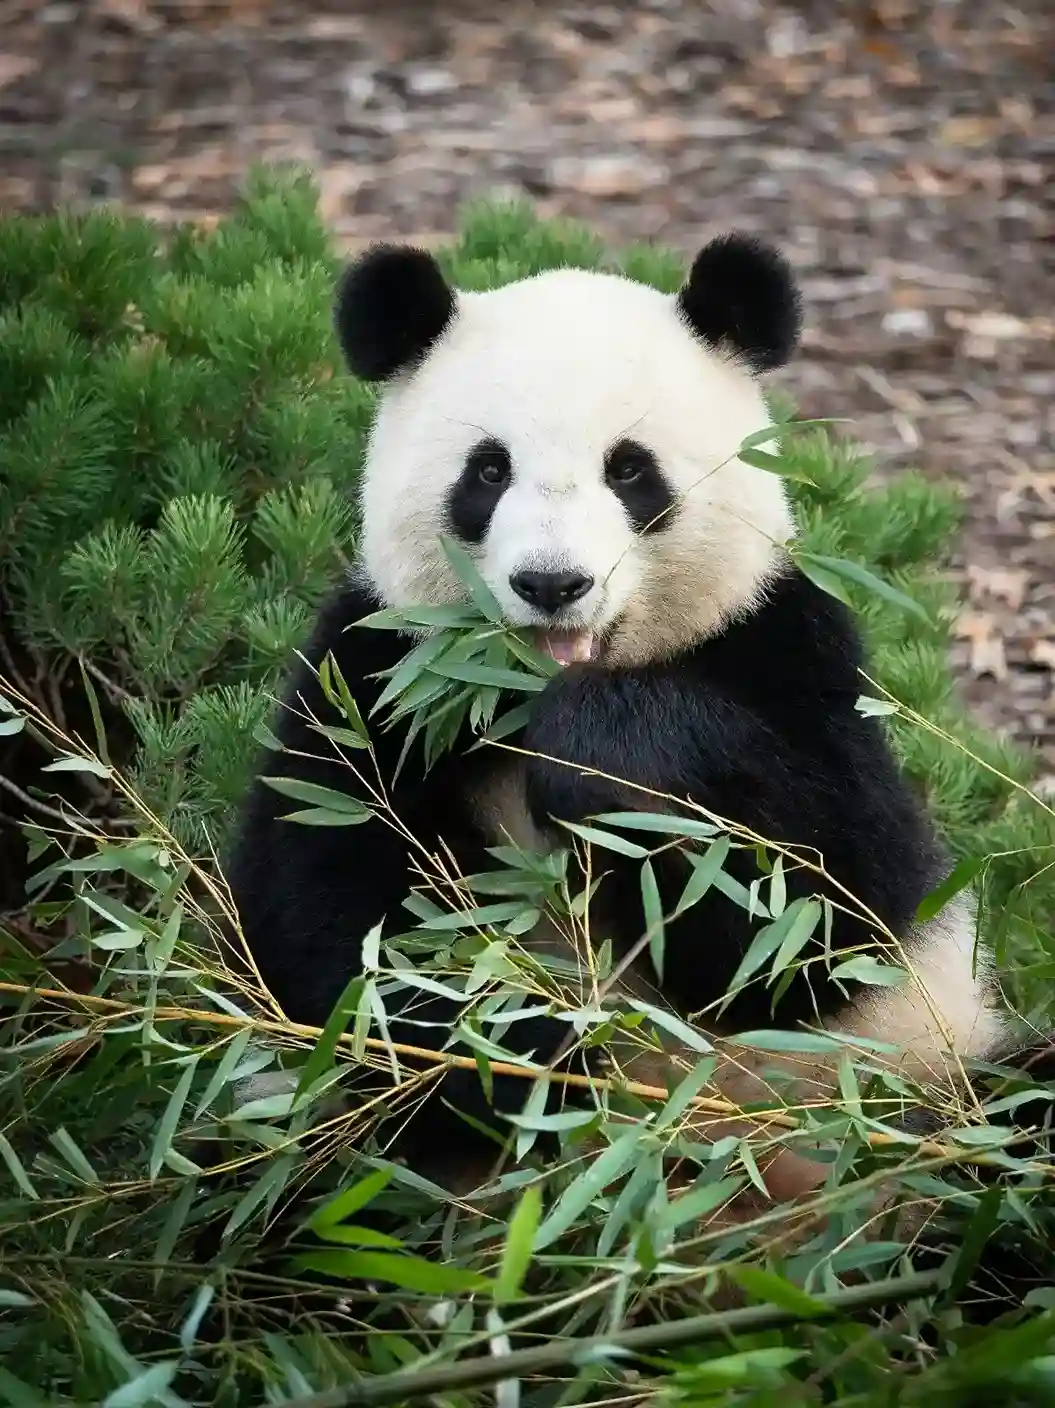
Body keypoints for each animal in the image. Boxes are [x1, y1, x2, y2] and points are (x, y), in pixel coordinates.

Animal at [225, 233, 1053, 1297]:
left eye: (629, 471)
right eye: (486, 471)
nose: (551, 584)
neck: (523, 691)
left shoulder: (786, 650)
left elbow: (823, 910)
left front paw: (602, 761)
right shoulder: (372, 679)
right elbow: (331, 918)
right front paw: (526, 1052)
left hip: (921, 1086)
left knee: (1012, 1125)